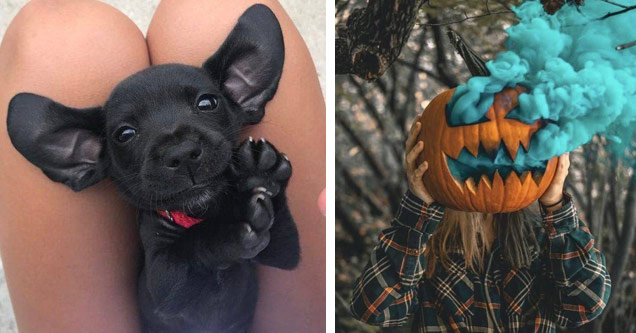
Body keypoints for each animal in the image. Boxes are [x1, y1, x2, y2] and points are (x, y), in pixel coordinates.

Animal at [6, 5, 300, 332]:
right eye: (124, 134)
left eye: (207, 103)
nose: (182, 153)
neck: (197, 214)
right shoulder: (166, 283)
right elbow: (193, 246)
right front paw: (230, 221)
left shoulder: (284, 253)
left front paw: (260, 175)